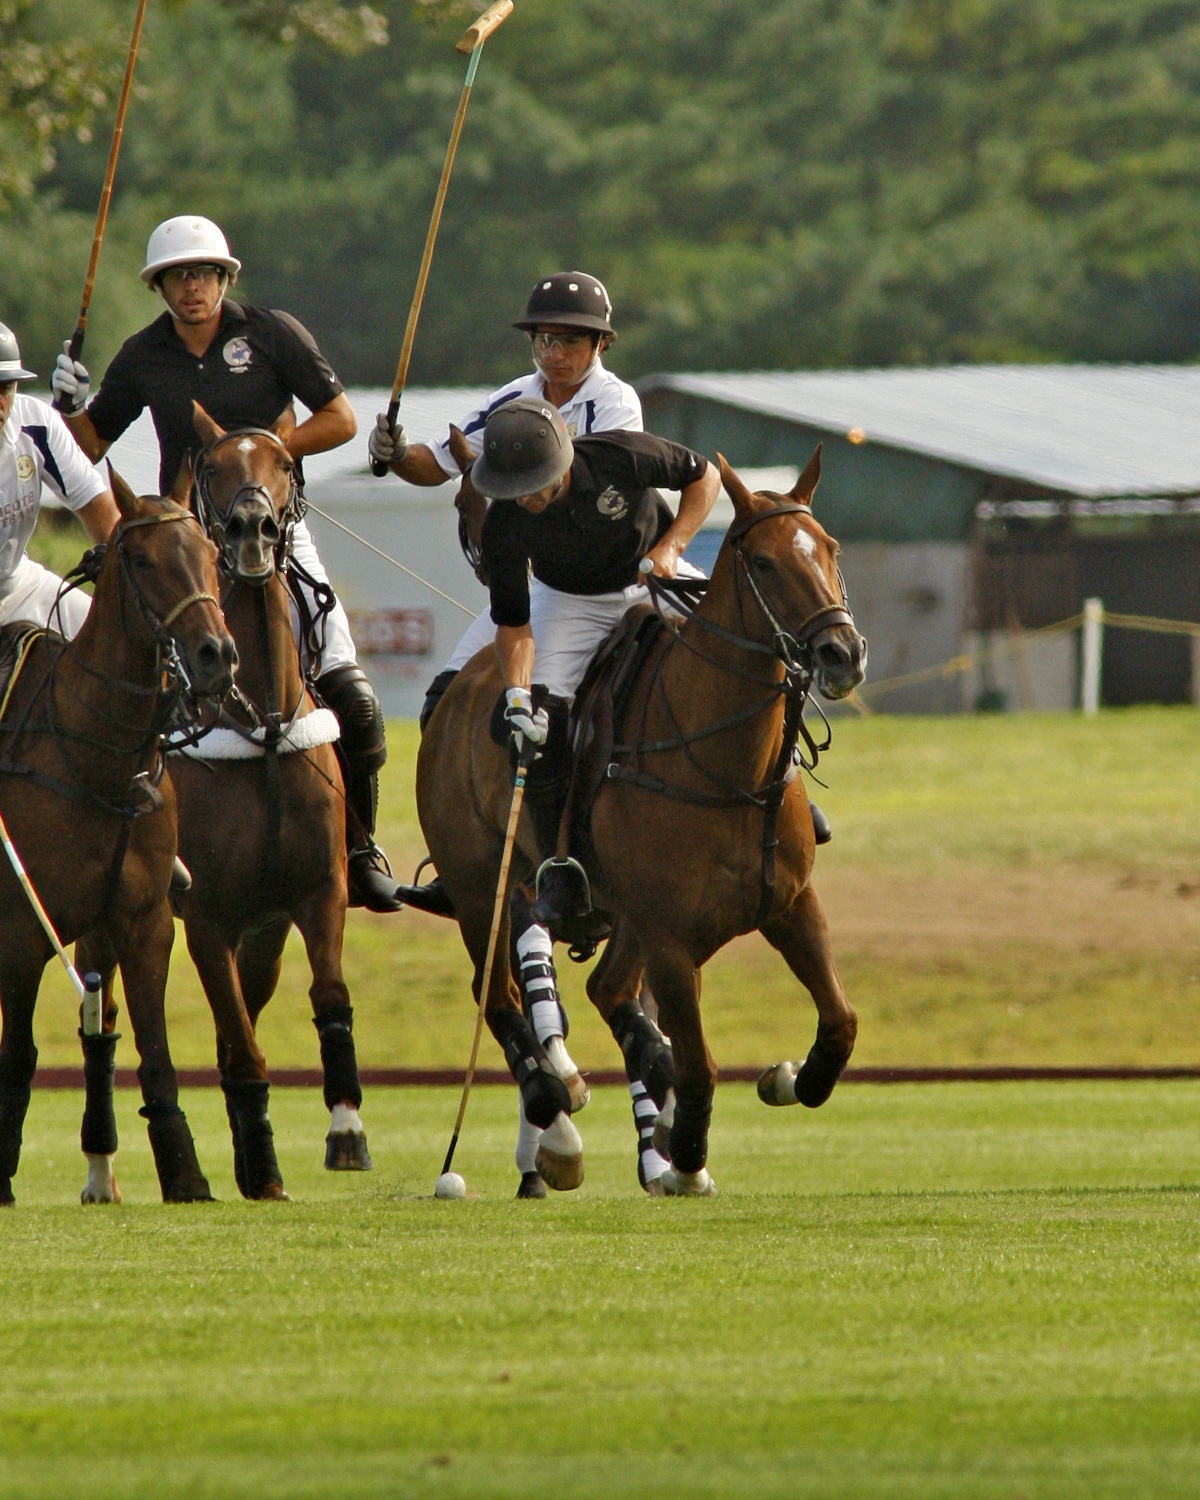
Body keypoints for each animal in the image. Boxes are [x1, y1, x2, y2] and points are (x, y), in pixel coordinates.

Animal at [0, 475, 236, 1206]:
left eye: (212, 554)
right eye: (143, 561)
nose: (216, 656)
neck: (97, 755)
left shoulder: (144, 919)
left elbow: (151, 1052)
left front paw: (185, 1173)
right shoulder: (23, 928)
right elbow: (18, 1053)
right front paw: (2, 1177)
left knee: (98, 1032)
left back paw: (101, 1171)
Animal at [160, 404, 367, 1200]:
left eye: (282, 462)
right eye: (214, 465)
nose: (253, 528)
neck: (265, 728)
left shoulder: (317, 892)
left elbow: (329, 997)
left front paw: (346, 1131)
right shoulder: (206, 919)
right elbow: (243, 1043)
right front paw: (265, 1163)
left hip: (266, 932)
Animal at [416, 447, 866, 1194]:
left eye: (830, 549)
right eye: (764, 563)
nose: (842, 653)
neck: (729, 771)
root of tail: (457, 694)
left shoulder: (790, 903)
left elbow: (840, 1021)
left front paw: (784, 1078)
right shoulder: (671, 938)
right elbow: (696, 1063)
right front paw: (682, 1156)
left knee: (601, 989)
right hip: (484, 889)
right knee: (499, 994)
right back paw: (557, 1124)